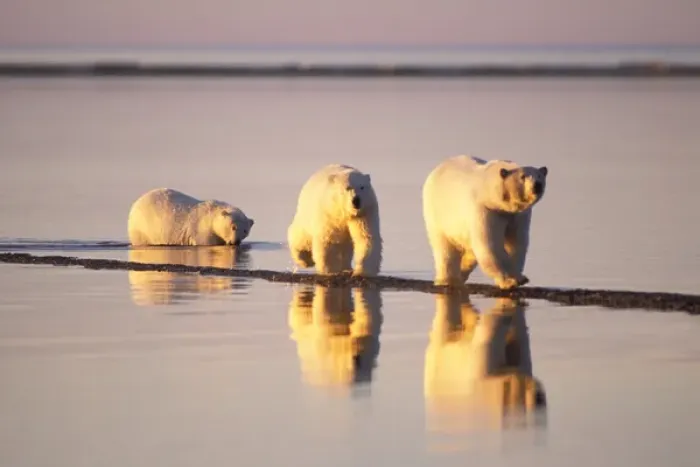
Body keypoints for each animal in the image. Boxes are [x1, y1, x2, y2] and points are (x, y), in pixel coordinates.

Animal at [422, 155, 548, 290]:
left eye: (539, 175)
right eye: (523, 177)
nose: (537, 185)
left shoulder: (517, 215)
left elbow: (517, 243)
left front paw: (519, 277)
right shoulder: (485, 209)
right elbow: (489, 244)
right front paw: (508, 281)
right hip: (438, 215)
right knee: (445, 248)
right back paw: (448, 280)